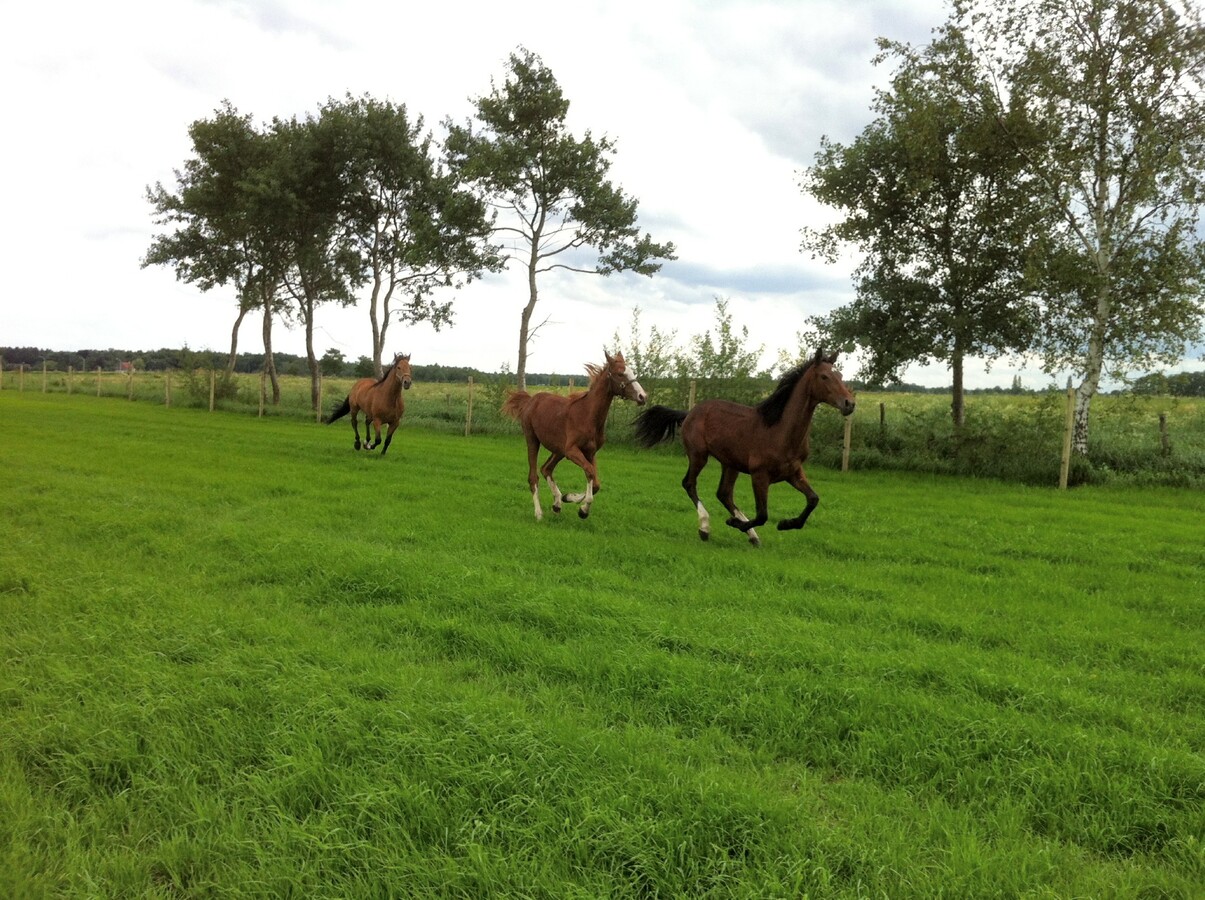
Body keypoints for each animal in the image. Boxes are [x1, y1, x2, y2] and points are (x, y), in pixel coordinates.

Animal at [501, 349, 650, 520]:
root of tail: (530, 400)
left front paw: (570, 499)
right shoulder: (572, 451)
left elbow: (595, 482)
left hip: (558, 450)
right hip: (533, 440)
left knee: (546, 469)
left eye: (632, 372)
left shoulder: (590, 452)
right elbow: (590, 472)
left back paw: (557, 503)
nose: (642, 396)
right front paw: (582, 509)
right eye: (620, 374)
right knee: (534, 476)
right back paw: (539, 513)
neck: (588, 416)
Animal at [631, 349, 857, 549]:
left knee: (724, 494)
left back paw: (751, 536)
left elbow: (813, 499)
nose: (849, 403)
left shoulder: (793, 472)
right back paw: (705, 528)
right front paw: (735, 523)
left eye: (840, 375)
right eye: (824, 376)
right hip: (698, 455)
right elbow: (763, 514)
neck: (780, 431)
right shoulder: (759, 475)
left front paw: (786, 524)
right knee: (689, 483)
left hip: (730, 464)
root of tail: (690, 413)